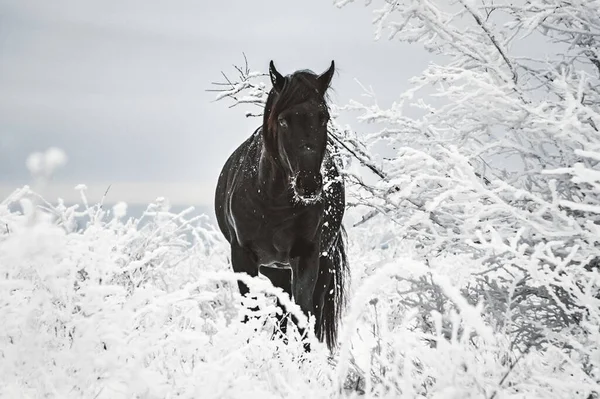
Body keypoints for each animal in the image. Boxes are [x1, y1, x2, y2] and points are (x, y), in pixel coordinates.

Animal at [214, 61, 346, 352]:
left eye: (323, 117)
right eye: (284, 119)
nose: (309, 185)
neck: (274, 204)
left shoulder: (307, 257)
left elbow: (303, 316)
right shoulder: (242, 257)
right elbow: (251, 313)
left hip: (313, 265)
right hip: (275, 270)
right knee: (279, 313)